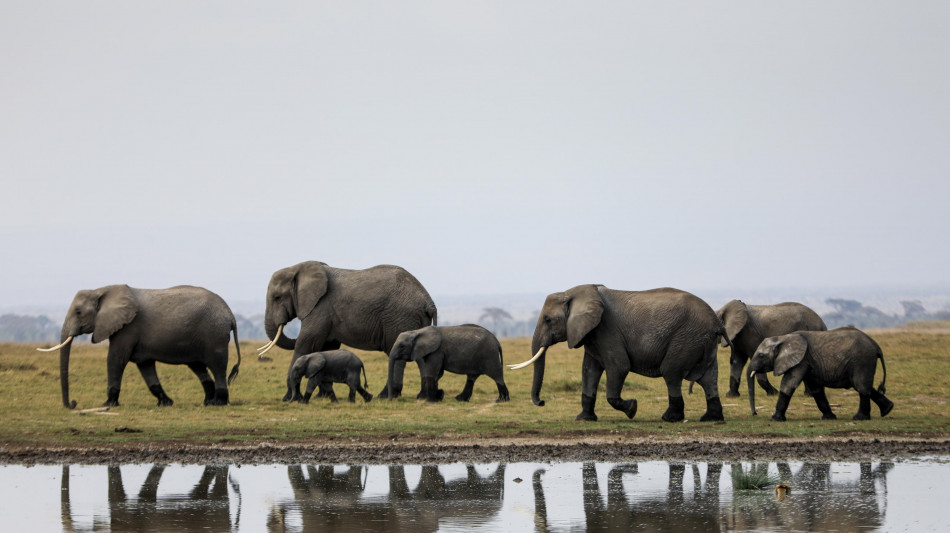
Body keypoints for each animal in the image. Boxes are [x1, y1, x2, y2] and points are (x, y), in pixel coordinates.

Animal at [39, 284, 241, 408]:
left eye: (79, 312)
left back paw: (218, 403)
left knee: (217, 366)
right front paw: (165, 403)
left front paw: (107, 405)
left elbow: (115, 359)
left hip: (214, 335)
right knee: (198, 367)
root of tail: (231, 315)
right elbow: (145, 366)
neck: (101, 290)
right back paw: (208, 401)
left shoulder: (128, 328)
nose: (73, 404)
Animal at [256, 261, 437, 401]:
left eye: (277, 298)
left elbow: (305, 343)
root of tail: (429, 302)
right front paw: (321, 397)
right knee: (421, 357)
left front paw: (289, 398)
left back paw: (385, 396)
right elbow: (328, 346)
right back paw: (423, 396)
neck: (297, 268)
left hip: (399, 318)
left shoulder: (320, 308)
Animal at [511, 284, 725, 422]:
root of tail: (717, 323)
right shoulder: (593, 334)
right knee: (709, 378)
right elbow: (589, 370)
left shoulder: (607, 330)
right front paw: (583, 419)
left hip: (686, 337)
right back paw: (710, 419)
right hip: (701, 341)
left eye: (547, 319)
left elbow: (619, 367)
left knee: (671, 373)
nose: (542, 402)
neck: (571, 293)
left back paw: (670, 418)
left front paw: (632, 409)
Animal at [747, 327, 894, 421]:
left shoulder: (801, 360)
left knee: (861, 386)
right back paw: (887, 410)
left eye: (761, 355)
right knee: (865, 386)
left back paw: (859, 418)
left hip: (862, 360)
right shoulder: (808, 362)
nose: (755, 413)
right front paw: (829, 418)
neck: (783, 338)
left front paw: (774, 419)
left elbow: (788, 384)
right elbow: (816, 389)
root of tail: (877, 347)